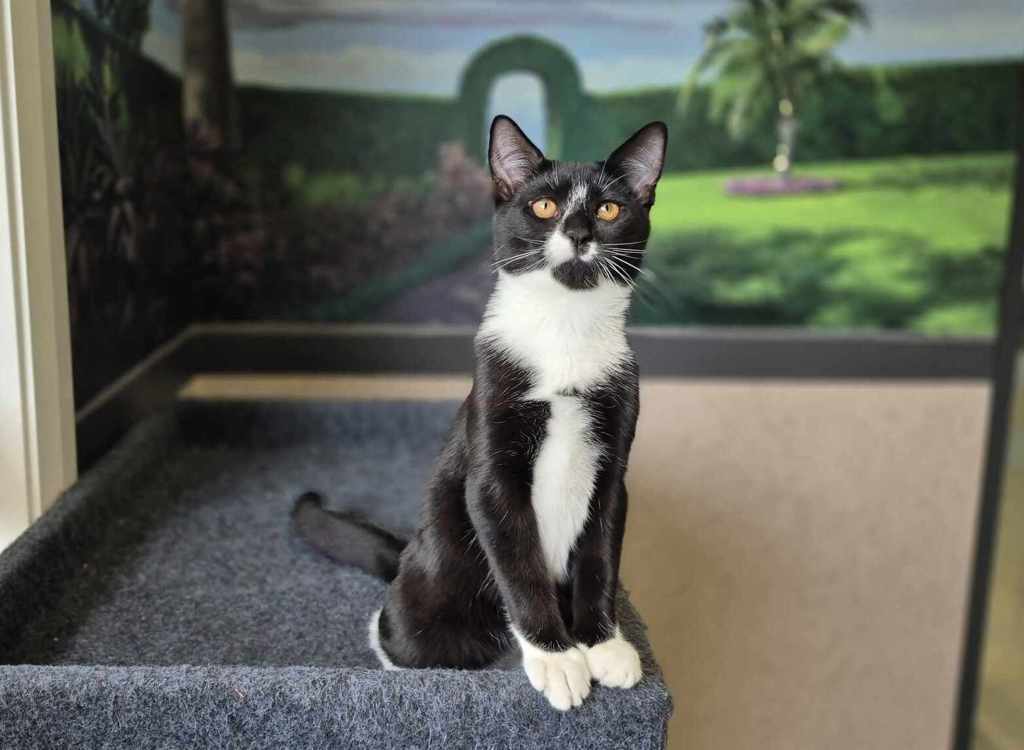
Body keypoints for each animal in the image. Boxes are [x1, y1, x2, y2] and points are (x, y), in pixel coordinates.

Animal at [293, 114, 667, 711]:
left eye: (610, 209)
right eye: (544, 206)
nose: (579, 233)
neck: (564, 331)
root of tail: (409, 554)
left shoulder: (613, 463)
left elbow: (601, 553)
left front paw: (602, 644)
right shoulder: (491, 468)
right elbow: (517, 561)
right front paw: (557, 657)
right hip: (438, 590)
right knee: (401, 634)